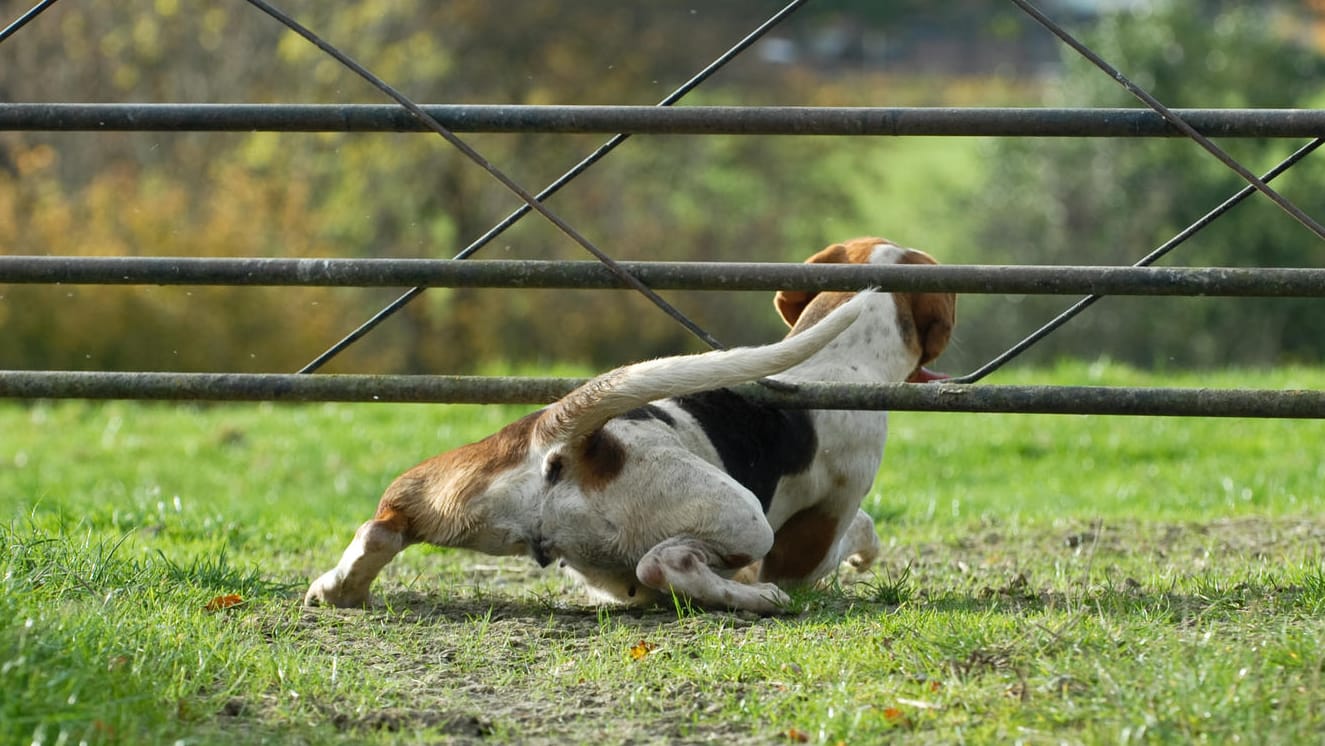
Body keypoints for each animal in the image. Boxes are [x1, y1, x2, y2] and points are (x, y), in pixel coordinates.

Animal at [304, 239, 954, 612]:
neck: (842, 356)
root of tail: (569, 438)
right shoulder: (814, 540)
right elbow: (858, 531)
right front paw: (861, 559)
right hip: (743, 517)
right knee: (667, 565)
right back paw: (755, 599)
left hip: (449, 496)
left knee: (383, 526)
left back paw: (340, 589)